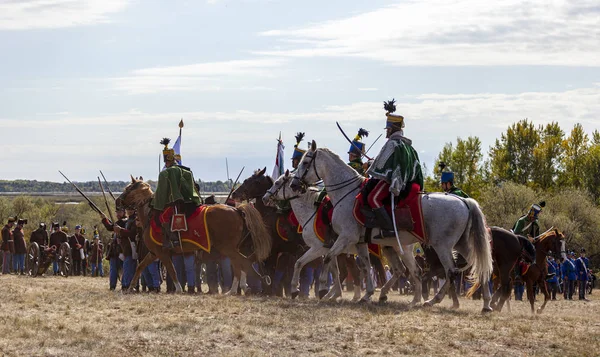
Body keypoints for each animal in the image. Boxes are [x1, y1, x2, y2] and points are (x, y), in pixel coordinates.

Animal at [117, 177, 272, 294]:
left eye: (128, 189)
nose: (118, 201)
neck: (151, 216)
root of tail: (237, 210)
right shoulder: (154, 253)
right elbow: (140, 266)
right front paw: (130, 287)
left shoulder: (162, 254)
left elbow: (172, 270)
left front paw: (178, 289)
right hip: (233, 248)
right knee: (243, 262)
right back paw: (241, 287)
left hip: (227, 248)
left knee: (240, 264)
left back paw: (234, 289)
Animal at [290, 140, 492, 310]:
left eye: (306, 161)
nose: (294, 184)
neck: (346, 193)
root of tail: (464, 201)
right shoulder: (359, 241)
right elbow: (364, 266)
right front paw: (366, 295)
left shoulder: (345, 237)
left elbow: (328, 258)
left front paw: (322, 289)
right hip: (460, 244)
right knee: (480, 266)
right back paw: (486, 304)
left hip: (441, 246)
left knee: (449, 271)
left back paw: (433, 300)